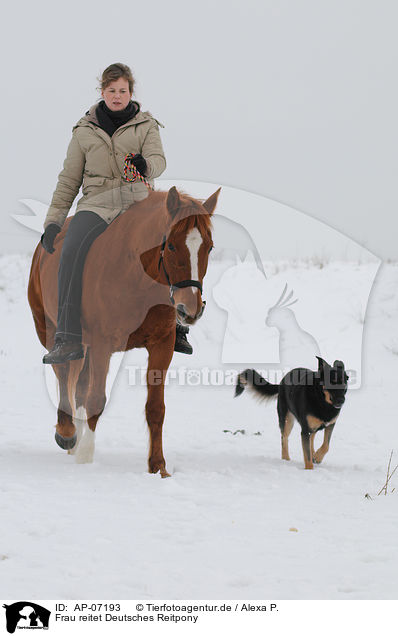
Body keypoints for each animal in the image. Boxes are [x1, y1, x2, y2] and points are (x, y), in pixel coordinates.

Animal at [28, 186, 221, 474]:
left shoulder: (162, 345)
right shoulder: (101, 344)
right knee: (63, 375)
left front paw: (158, 467)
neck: (135, 274)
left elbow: (156, 408)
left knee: (79, 385)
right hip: (51, 331)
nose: (190, 309)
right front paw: (86, 457)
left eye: (209, 247)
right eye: (171, 245)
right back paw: (68, 434)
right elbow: (96, 399)